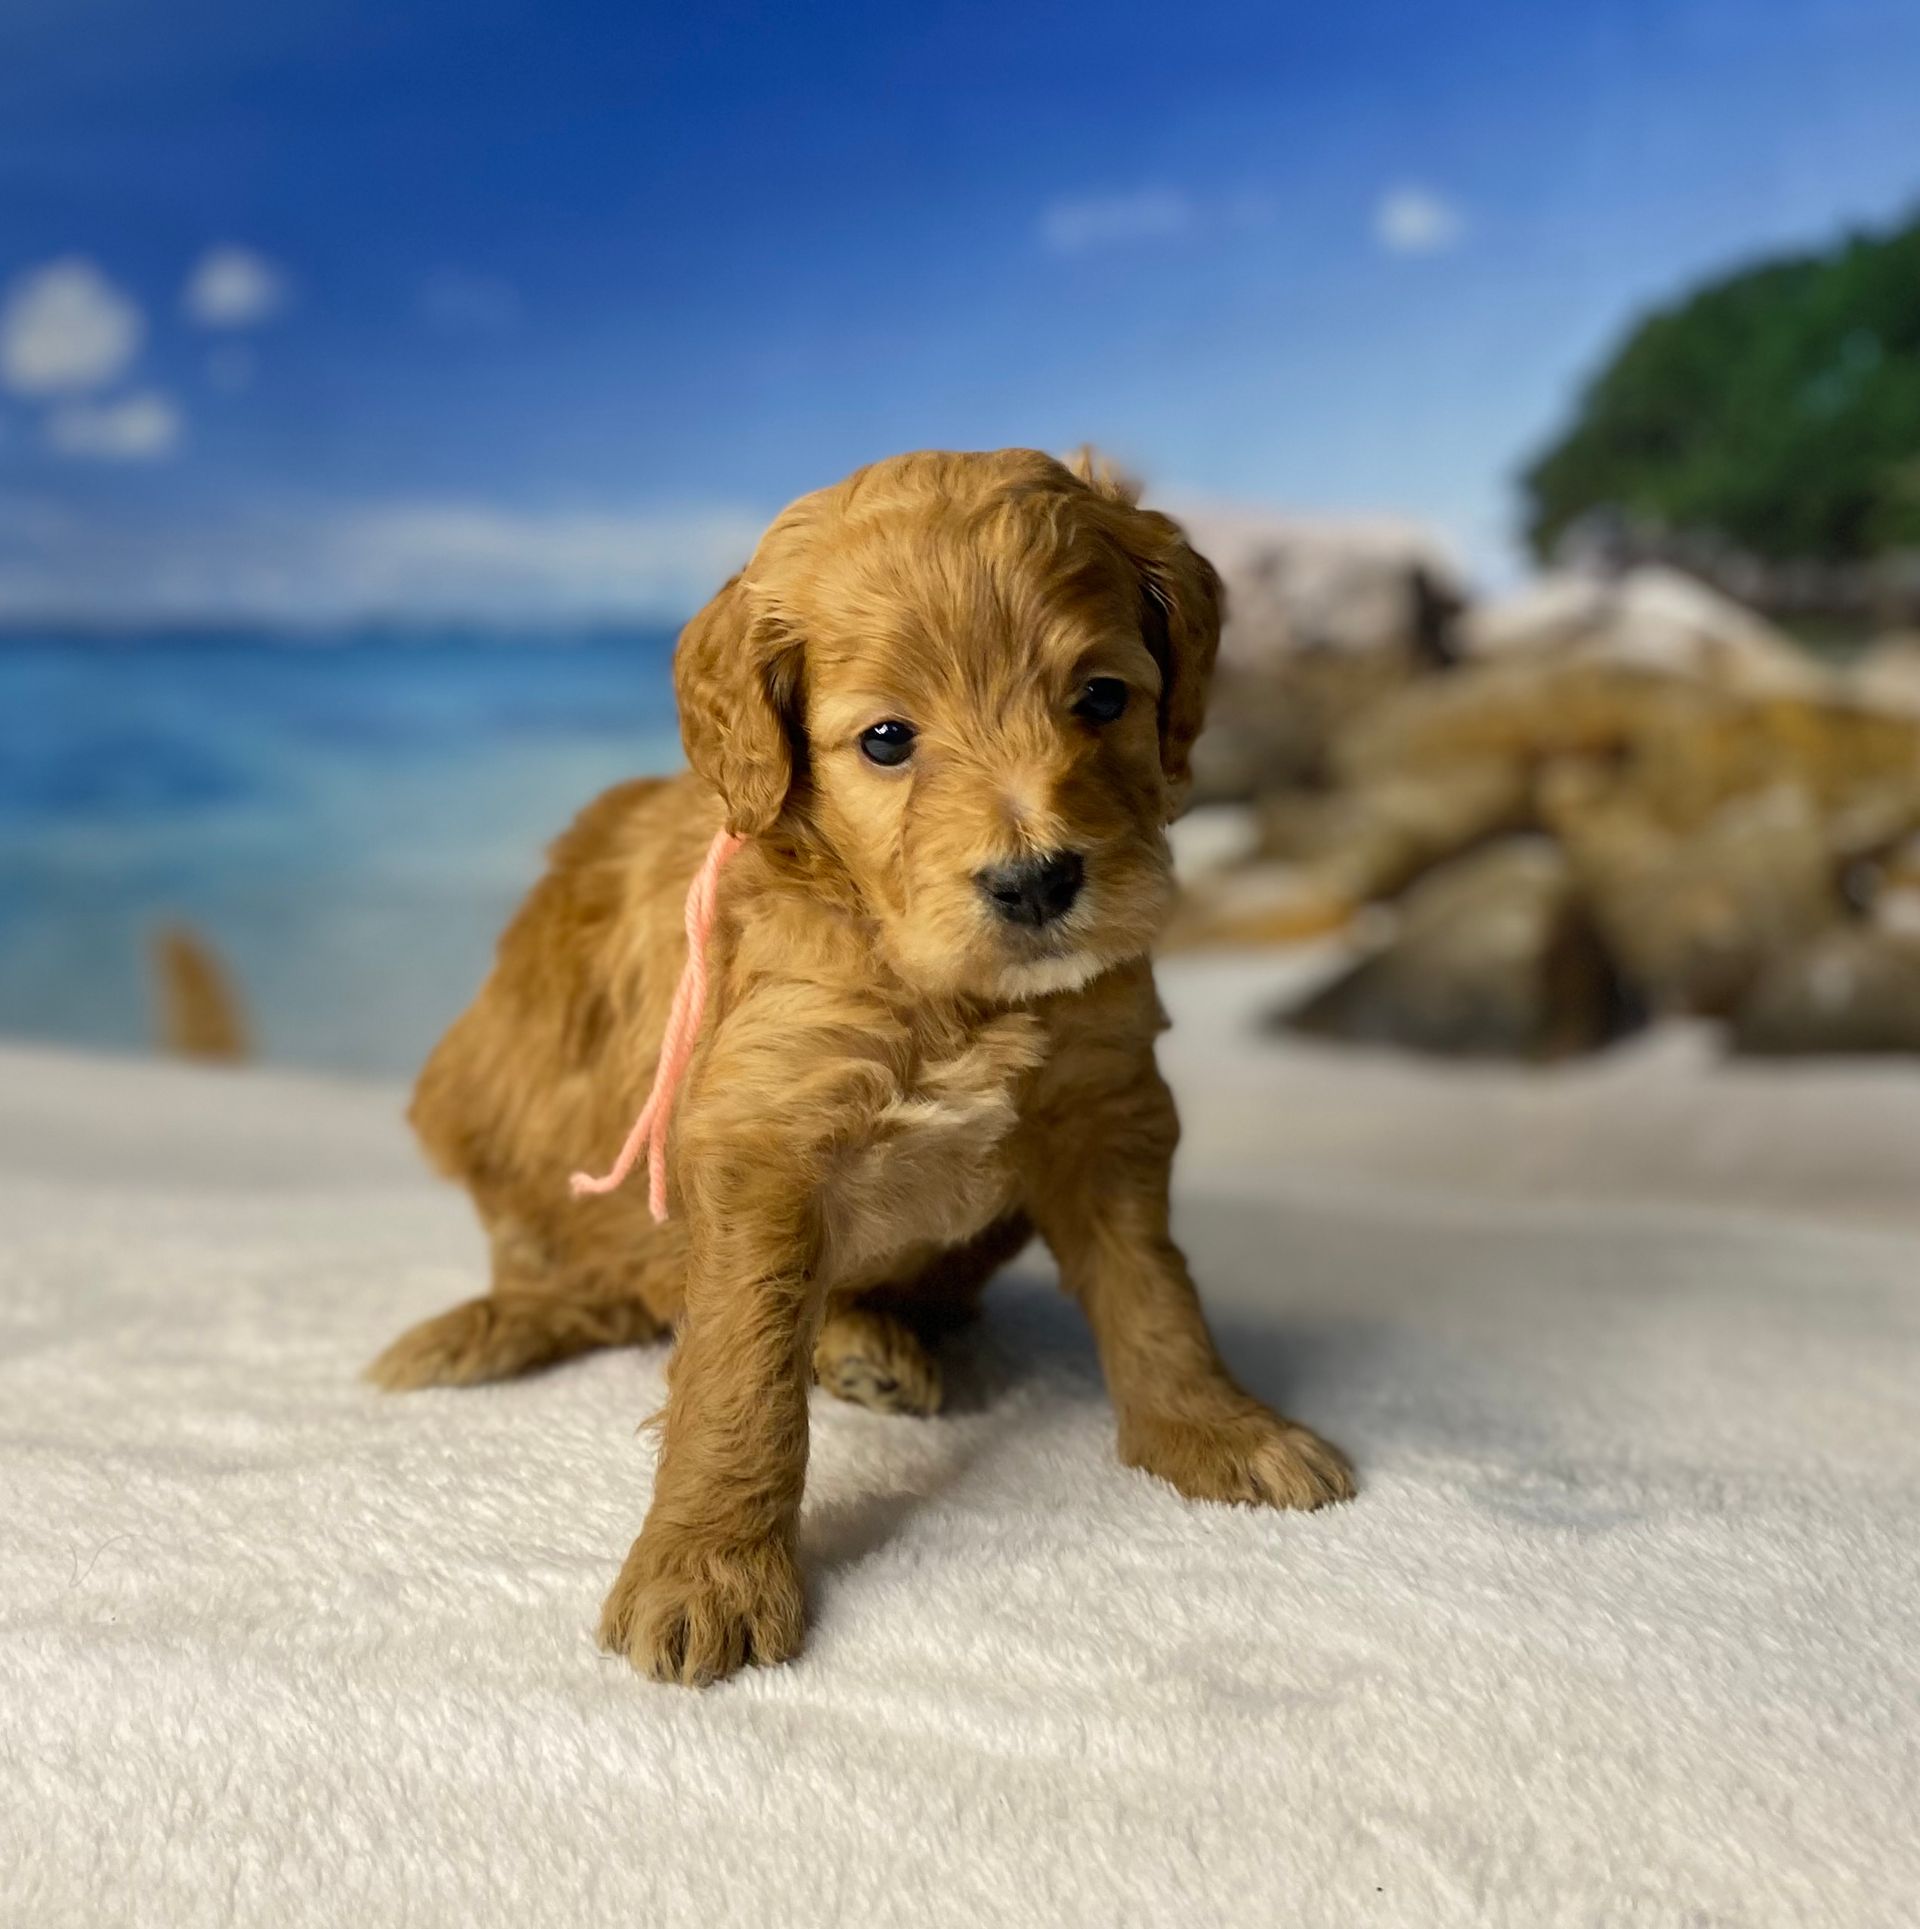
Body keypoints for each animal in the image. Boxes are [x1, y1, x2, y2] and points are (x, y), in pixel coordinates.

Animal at [364, 443, 1350, 1682]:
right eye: (887, 740)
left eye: (1102, 698)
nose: (1036, 882)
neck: (938, 984)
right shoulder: (762, 1139)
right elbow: (740, 1368)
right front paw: (707, 1569)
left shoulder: (1105, 1101)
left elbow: (1152, 1286)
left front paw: (1216, 1427)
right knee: (603, 1296)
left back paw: (871, 1342)